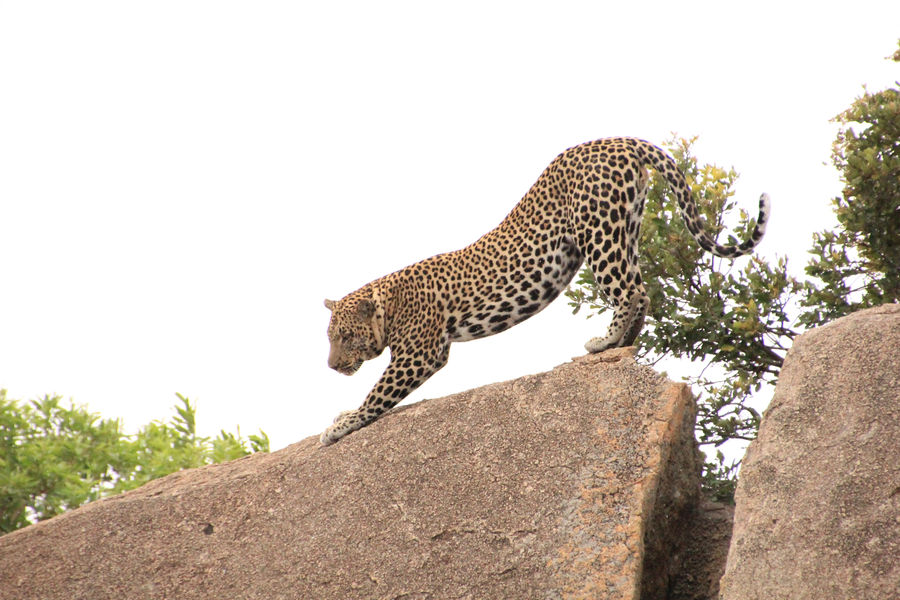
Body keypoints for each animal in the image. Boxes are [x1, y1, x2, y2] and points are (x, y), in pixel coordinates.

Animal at [320, 137, 769, 445]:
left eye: (344, 336)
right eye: (331, 338)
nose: (331, 366)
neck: (389, 302)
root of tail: (620, 138)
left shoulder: (420, 353)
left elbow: (377, 394)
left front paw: (341, 425)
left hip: (599, 232)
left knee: (630, 291)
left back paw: (604, 342)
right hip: (627, 227)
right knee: (641, 288)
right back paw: (622, 344)